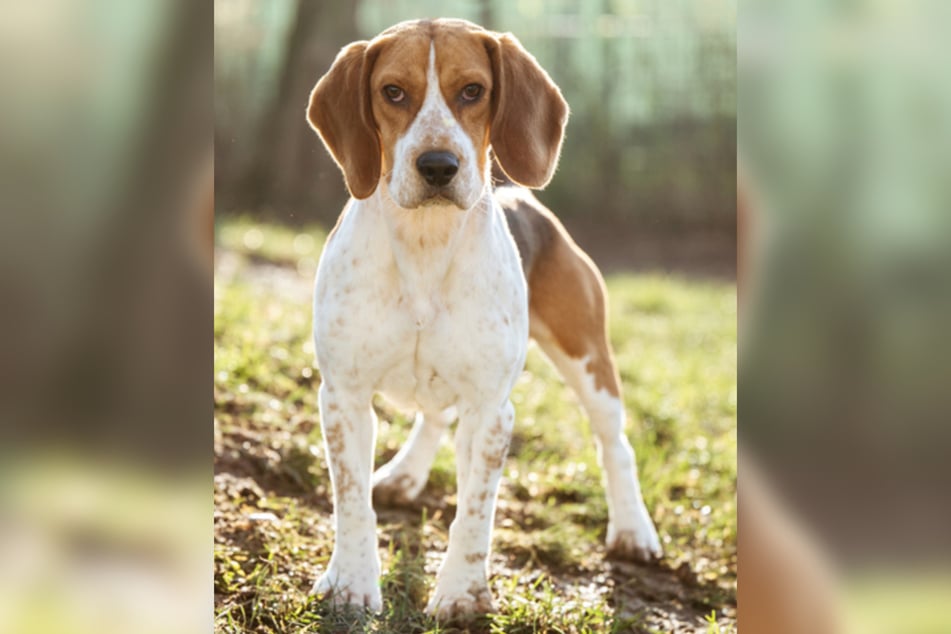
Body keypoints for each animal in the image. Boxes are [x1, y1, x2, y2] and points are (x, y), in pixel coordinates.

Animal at [306, 17, 660, 616]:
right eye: (392, 92)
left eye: (473, 90)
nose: (438, 166)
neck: (426, 244)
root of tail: (526, 197)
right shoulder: (343, 398)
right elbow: (351, 500)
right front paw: (352, 583)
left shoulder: (492, 410)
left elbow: (475, 510)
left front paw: (461, 594)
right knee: (432, 419)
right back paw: (404, 475)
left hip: (589, 360)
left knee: (616, 445)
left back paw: (634, 530)